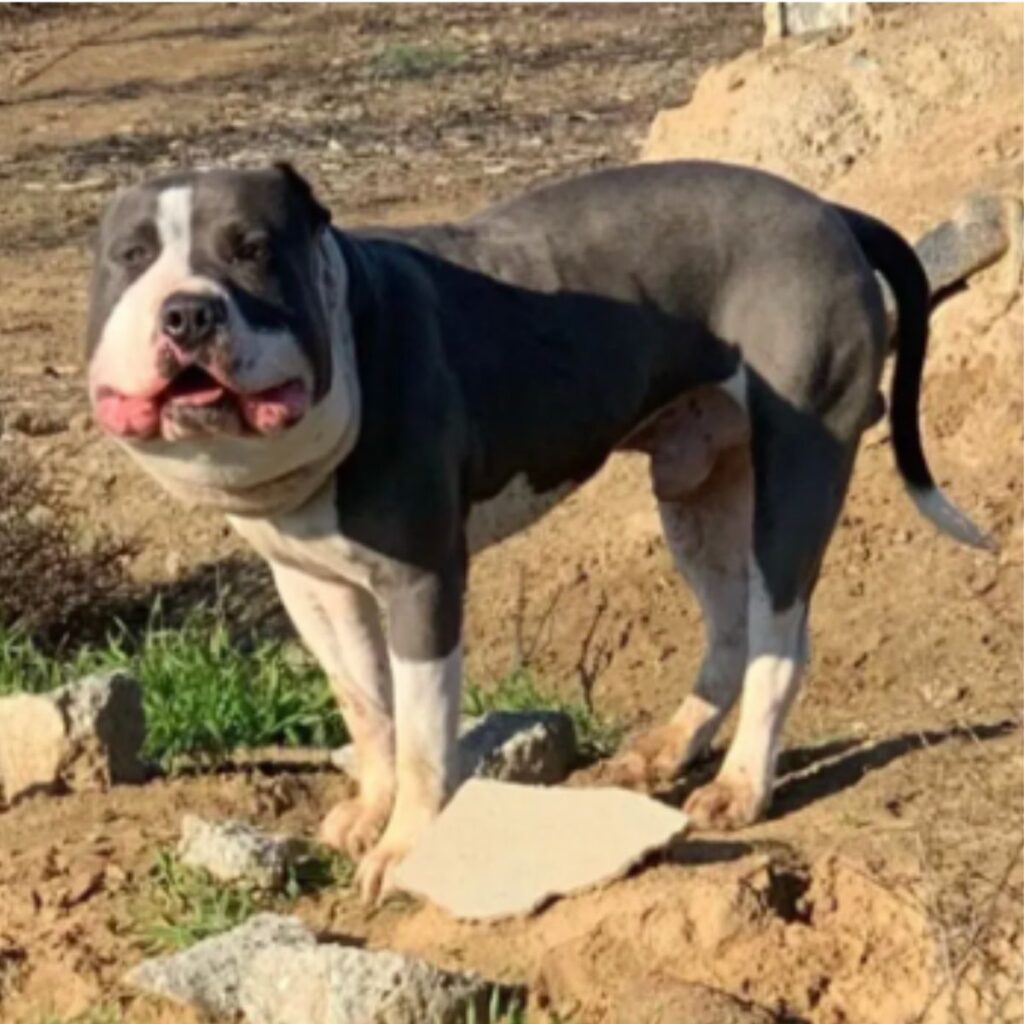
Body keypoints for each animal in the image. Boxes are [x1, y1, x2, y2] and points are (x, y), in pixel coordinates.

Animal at [83, 157, 987, 897]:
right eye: (131, 256)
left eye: (251, 250)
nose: (187, 314)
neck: (347, 328)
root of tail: (827, 209)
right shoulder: (313, 586)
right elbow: (367, 709)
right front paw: (370, 811)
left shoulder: (422, 582)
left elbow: (422, 733)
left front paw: (407, 847)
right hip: (698, 488)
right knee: (730, 628)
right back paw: (670, 746)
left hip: (799, 464)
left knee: (777, 641)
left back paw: (740, 785)